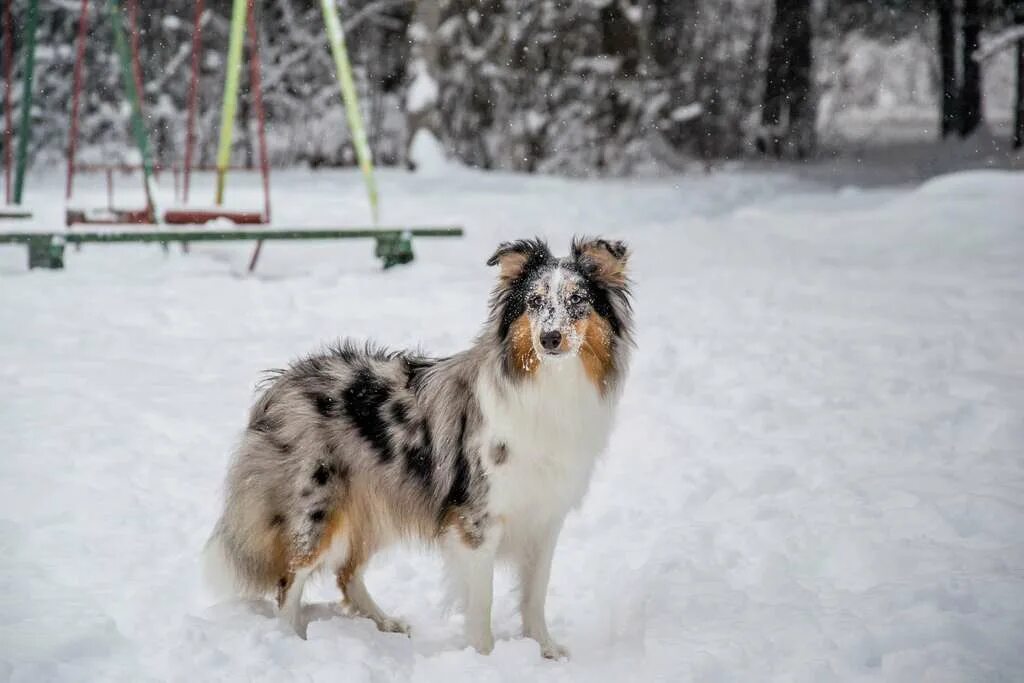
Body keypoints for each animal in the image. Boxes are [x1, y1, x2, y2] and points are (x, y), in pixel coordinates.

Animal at [201, 237, 630, 659]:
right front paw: (483, 657)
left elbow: (535, 594)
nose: (549, 338)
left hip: (376, 503)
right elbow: (482, 601)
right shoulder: (477, 520)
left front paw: (545, 650)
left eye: (578, 299)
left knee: (347, 573)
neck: (551, 386)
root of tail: (279, 385)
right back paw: (292, 642)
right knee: (290, 580)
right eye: (535, 302)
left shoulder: (545, 517)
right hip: (317, 508)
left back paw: (384, 624)